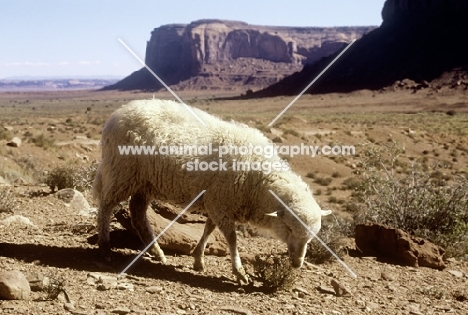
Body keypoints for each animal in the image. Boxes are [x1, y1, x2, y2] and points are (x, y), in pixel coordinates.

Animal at [93, 100, 330, 286]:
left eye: (312, 237)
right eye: (289, 228)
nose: (297, 263)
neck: (257, 178)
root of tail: (118, 113)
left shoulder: (217, 202)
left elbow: (208, 229)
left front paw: (198, 260)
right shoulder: (221, 202)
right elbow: (232, 239)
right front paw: (239, 272)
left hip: (144, 182)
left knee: (137, 214)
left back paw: (156, 252)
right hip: (122, 172)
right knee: (105, 206)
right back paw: (105, 249)